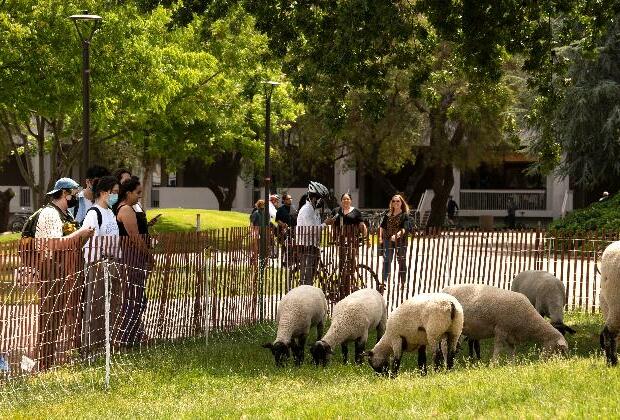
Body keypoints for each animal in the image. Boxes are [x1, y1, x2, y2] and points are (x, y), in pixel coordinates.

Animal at [440, 282, 568, 360]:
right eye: (559, 350)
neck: (529, 321)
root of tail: (443, 290)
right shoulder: (500, 330)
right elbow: (498, 349)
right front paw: (493, 365)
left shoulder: (511, 335)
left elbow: (512, 351)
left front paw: (511, 365)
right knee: (445, 347)